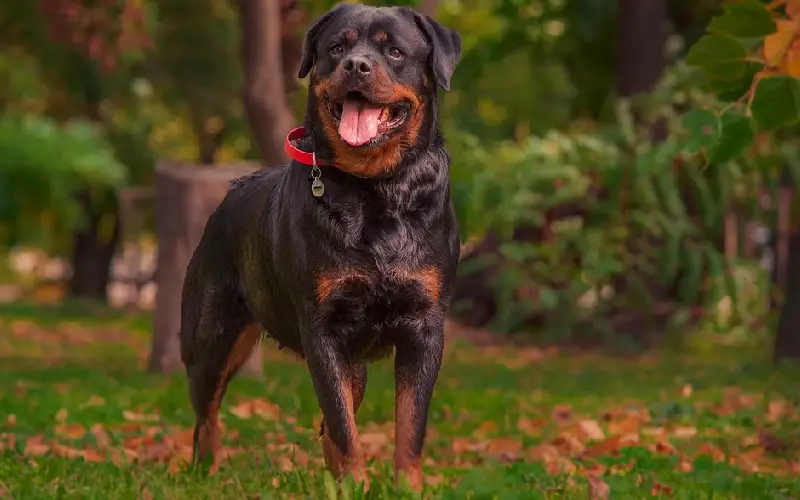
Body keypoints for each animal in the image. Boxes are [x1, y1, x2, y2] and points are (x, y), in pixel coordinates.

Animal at [178, 1, 460, 490]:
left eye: (394, 51)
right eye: (337, 48)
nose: (357, 65)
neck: (374, 190)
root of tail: (227, 195)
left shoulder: (425, 327)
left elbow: (408, 426)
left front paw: (406, 488)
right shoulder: (322, 329)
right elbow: (345, 430)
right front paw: (356, 487)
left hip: (353, 363)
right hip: (212, 336)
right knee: (206, 412)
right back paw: (207, 470)